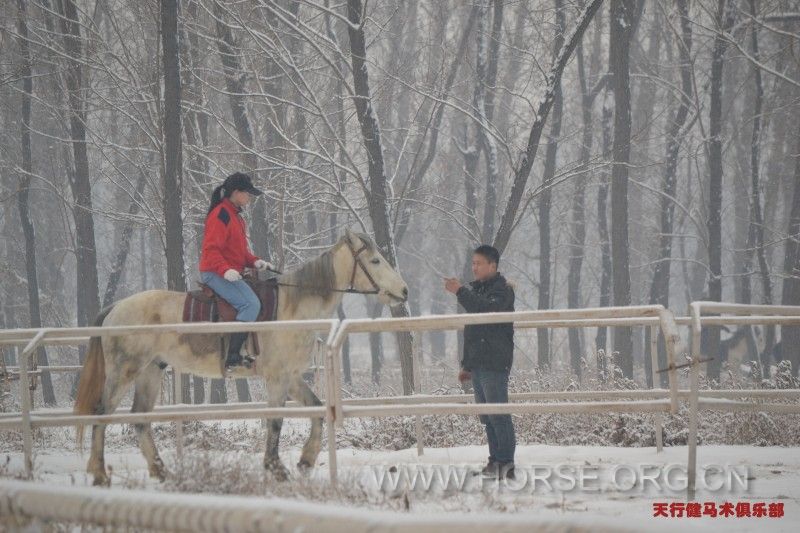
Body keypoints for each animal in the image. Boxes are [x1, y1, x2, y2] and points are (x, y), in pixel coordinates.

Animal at [72, 230, 410, 486]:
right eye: (375, 260)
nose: (404, 291)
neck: (291, 306)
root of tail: (116, 308)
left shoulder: (291, 377)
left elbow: (316, 410)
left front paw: (306, 460)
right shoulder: (277, 379)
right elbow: (275, 421)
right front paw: (276, 468)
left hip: (150, 372)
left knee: (140, 419)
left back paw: (160, 470)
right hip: (123, 371)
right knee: (102, 413)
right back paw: (100, 473)